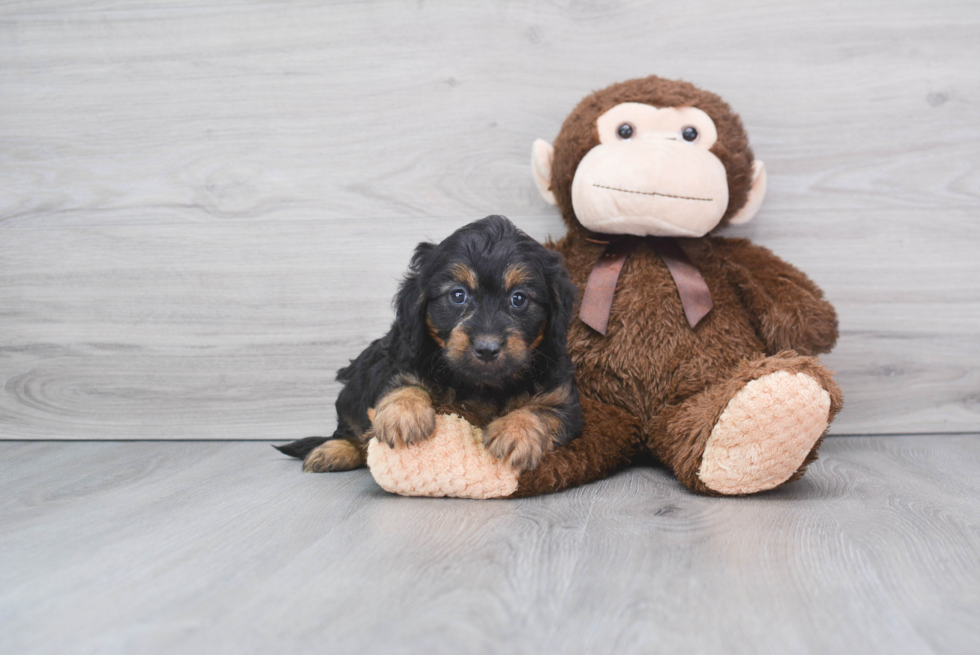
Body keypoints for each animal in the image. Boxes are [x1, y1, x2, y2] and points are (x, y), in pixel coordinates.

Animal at [276, 217, 580, 476]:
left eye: (519, 299)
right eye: (458, 295)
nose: (487, 348)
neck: (483, 385)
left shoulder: (564, 400)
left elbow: (544, 411)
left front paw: (517, 432)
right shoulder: (402, 356)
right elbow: (403, 382)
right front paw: (402, 414)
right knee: (349, 426)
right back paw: (333, 450)